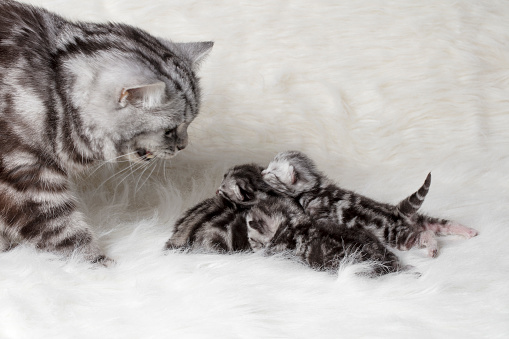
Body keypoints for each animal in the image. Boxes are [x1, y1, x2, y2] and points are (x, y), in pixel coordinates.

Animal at [260, 151, 478, 258]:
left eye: (271, 172)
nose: (261, 172)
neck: (315, 186)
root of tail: (398, 213)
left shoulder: (318, 212)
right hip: (420, 219)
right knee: (440, 224)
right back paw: (467, 231)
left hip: (397, 236)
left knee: (425, 234)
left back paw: (432, 248)